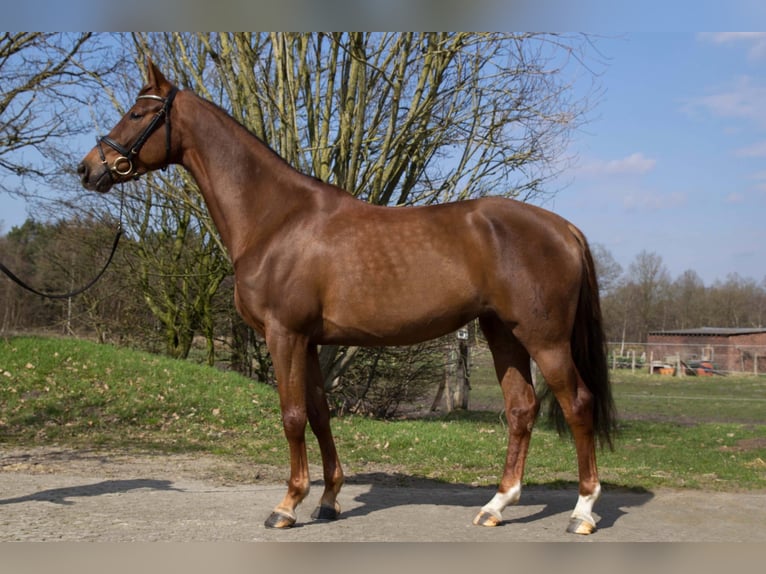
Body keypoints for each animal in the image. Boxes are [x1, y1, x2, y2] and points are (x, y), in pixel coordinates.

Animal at [78, 59, 616, 535]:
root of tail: (564, 228)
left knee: (578, 405)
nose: (87, 169)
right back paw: (496, 506)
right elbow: (319, 415)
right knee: (521, 410)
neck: (277, 219)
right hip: (502, 333)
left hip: (544, 339)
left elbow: (292, 417)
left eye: (138, 113)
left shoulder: (285, 336)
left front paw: (287, 505)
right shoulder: (311, 342)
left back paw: (582, 512)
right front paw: (329, 499)